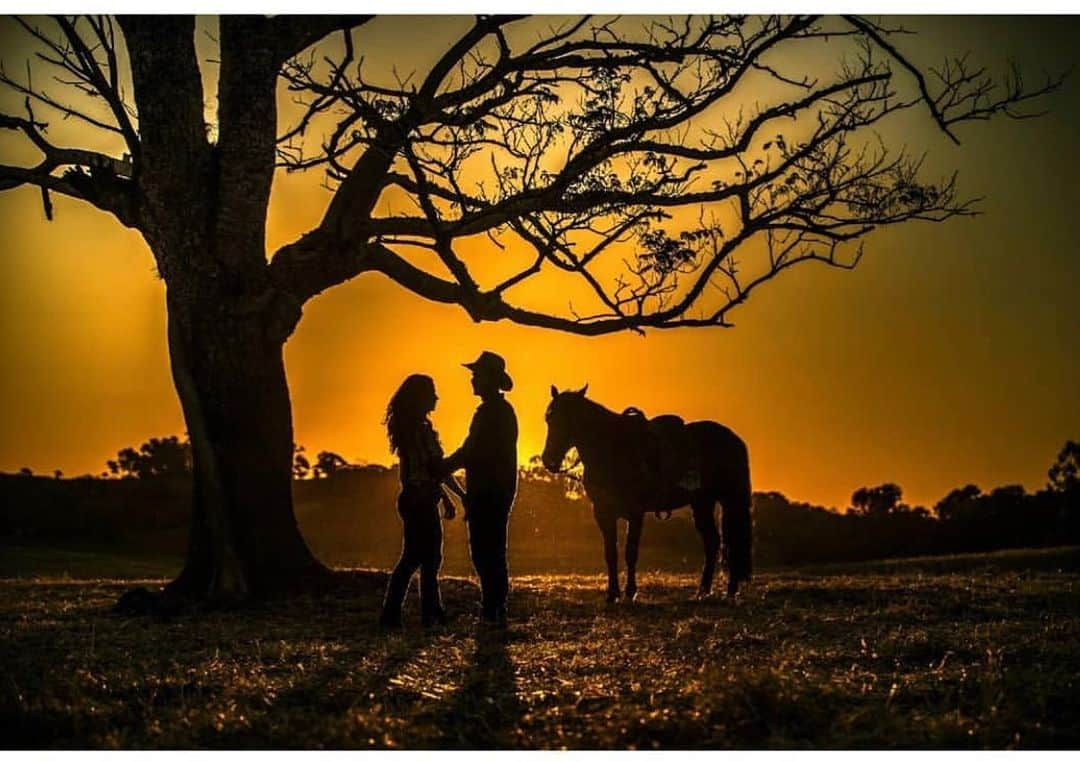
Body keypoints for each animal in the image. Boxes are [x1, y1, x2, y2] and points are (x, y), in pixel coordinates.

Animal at [537, 382, 751, 604]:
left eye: (570, 419)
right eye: (549, 418)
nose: (549, 460)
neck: (614, 450)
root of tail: (733, 439)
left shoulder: (635, 512)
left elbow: (631, 552)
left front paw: (630, 592)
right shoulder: (603, 512)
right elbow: (610, 553)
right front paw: (612, 594)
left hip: (729, 500)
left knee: (733, 542)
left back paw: (730, 591)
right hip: (702, 503)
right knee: (712, 542)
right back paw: (703, 591)